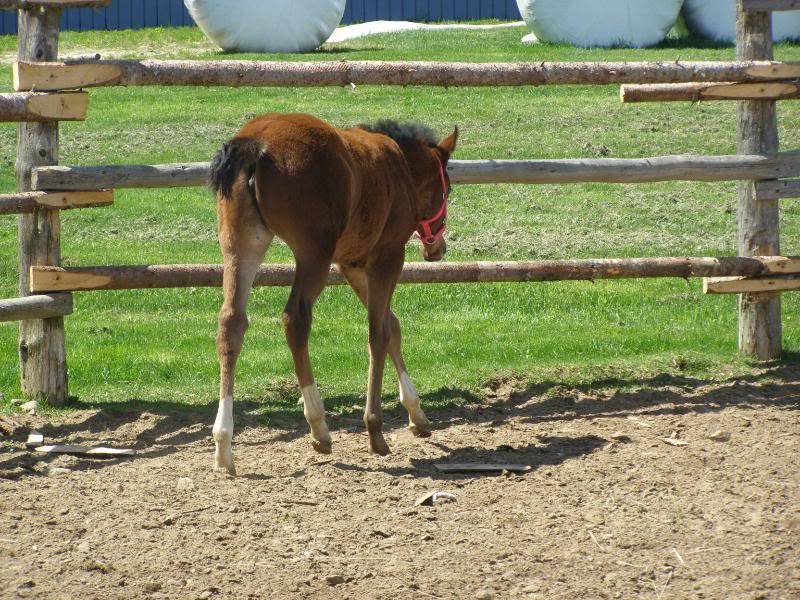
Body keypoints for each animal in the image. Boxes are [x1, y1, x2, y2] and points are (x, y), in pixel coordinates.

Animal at [208, 112, 456, 474]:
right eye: (446, 189)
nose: (438, 248)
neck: (398, 165)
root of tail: (256, 143)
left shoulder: (351, 263)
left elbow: (392, 325)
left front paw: (417, 414)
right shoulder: (387, 257)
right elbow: (378, 333)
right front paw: (375, 430)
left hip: (241, 245)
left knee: (232, 323)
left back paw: (224, 444)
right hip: (314, 255)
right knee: (295, 319)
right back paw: (318, 426)